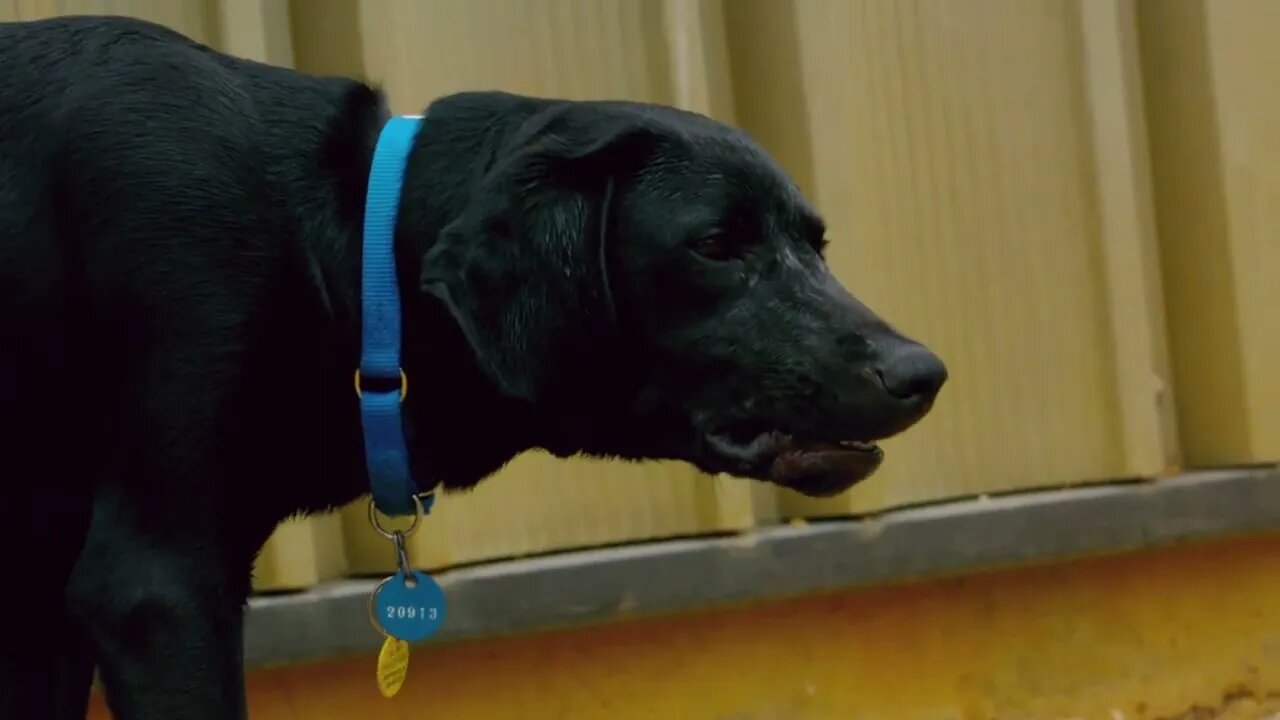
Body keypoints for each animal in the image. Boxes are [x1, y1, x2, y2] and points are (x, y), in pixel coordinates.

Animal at [0, 12, 942, 717]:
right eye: (715, 244)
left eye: (817, 245)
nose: (923, 373)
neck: (347, 248)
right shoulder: (157, 589)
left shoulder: (44, 613)